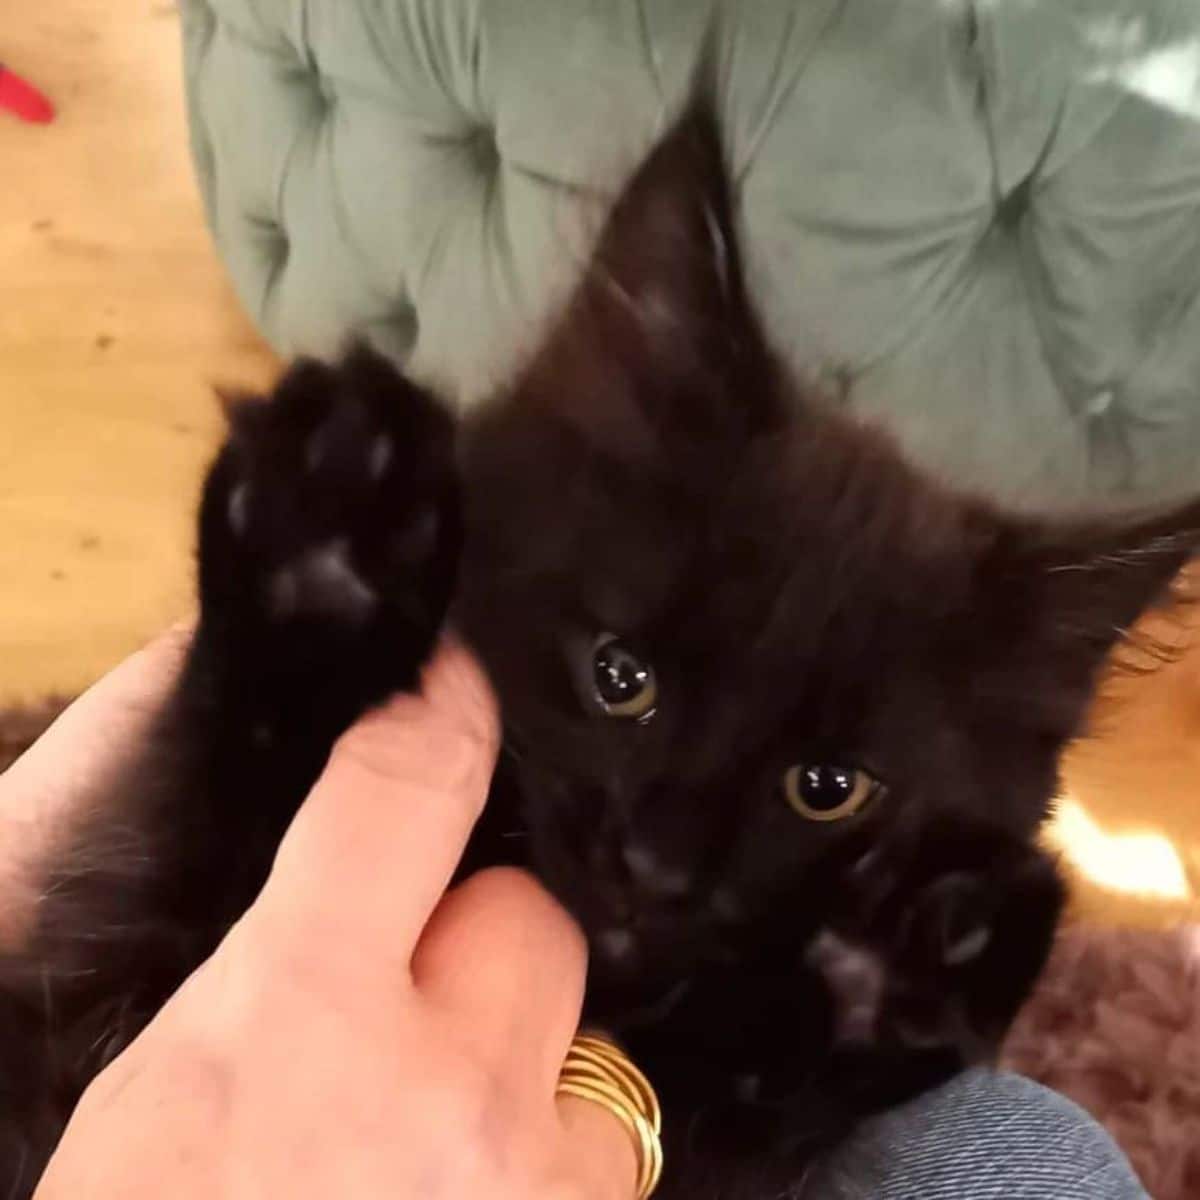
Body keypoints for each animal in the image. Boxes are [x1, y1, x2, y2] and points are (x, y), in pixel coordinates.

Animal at [2, 112, 1200, 1200]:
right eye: (620, 677)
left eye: (829, 788)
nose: (655, 867)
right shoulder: (142, 891)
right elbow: (237, 751)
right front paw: (332, 532)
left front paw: (900, 950)